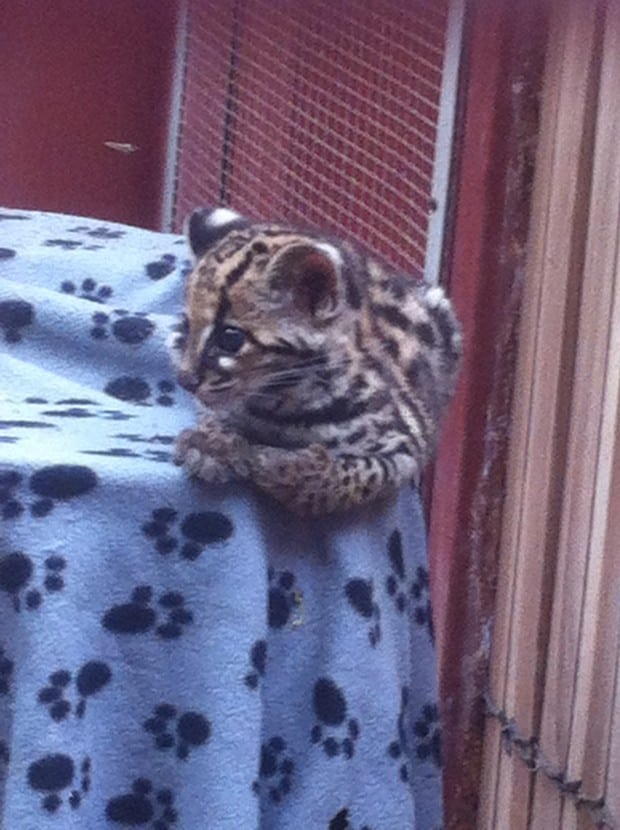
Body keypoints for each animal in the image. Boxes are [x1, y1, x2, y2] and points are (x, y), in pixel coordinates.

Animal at [170, 208, 460, 516]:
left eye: (230, 338)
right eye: (188, 326)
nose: (185, 381)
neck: (282, 399)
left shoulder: (404, 443)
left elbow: (357, 477)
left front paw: (291, 471)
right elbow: (215, 415)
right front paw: (210, 443)